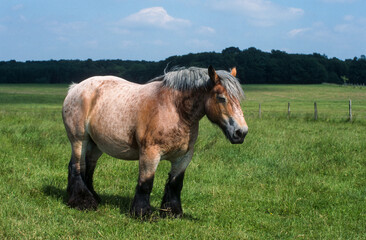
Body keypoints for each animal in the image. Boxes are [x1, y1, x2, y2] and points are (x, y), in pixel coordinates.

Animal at [63, 65, 249, 218]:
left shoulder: (183, 157)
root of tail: (75, 87)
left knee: (88, 168)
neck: (174, 109)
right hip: (79, 140)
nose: (241, 133)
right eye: (221, 98)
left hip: (95, 145)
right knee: (76, 167)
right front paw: (142, 213)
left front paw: (172, 212)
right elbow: (146, 183)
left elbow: (175, 184)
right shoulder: (150, 154)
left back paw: (92, 197)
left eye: (238, 99)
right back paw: (83, 202)